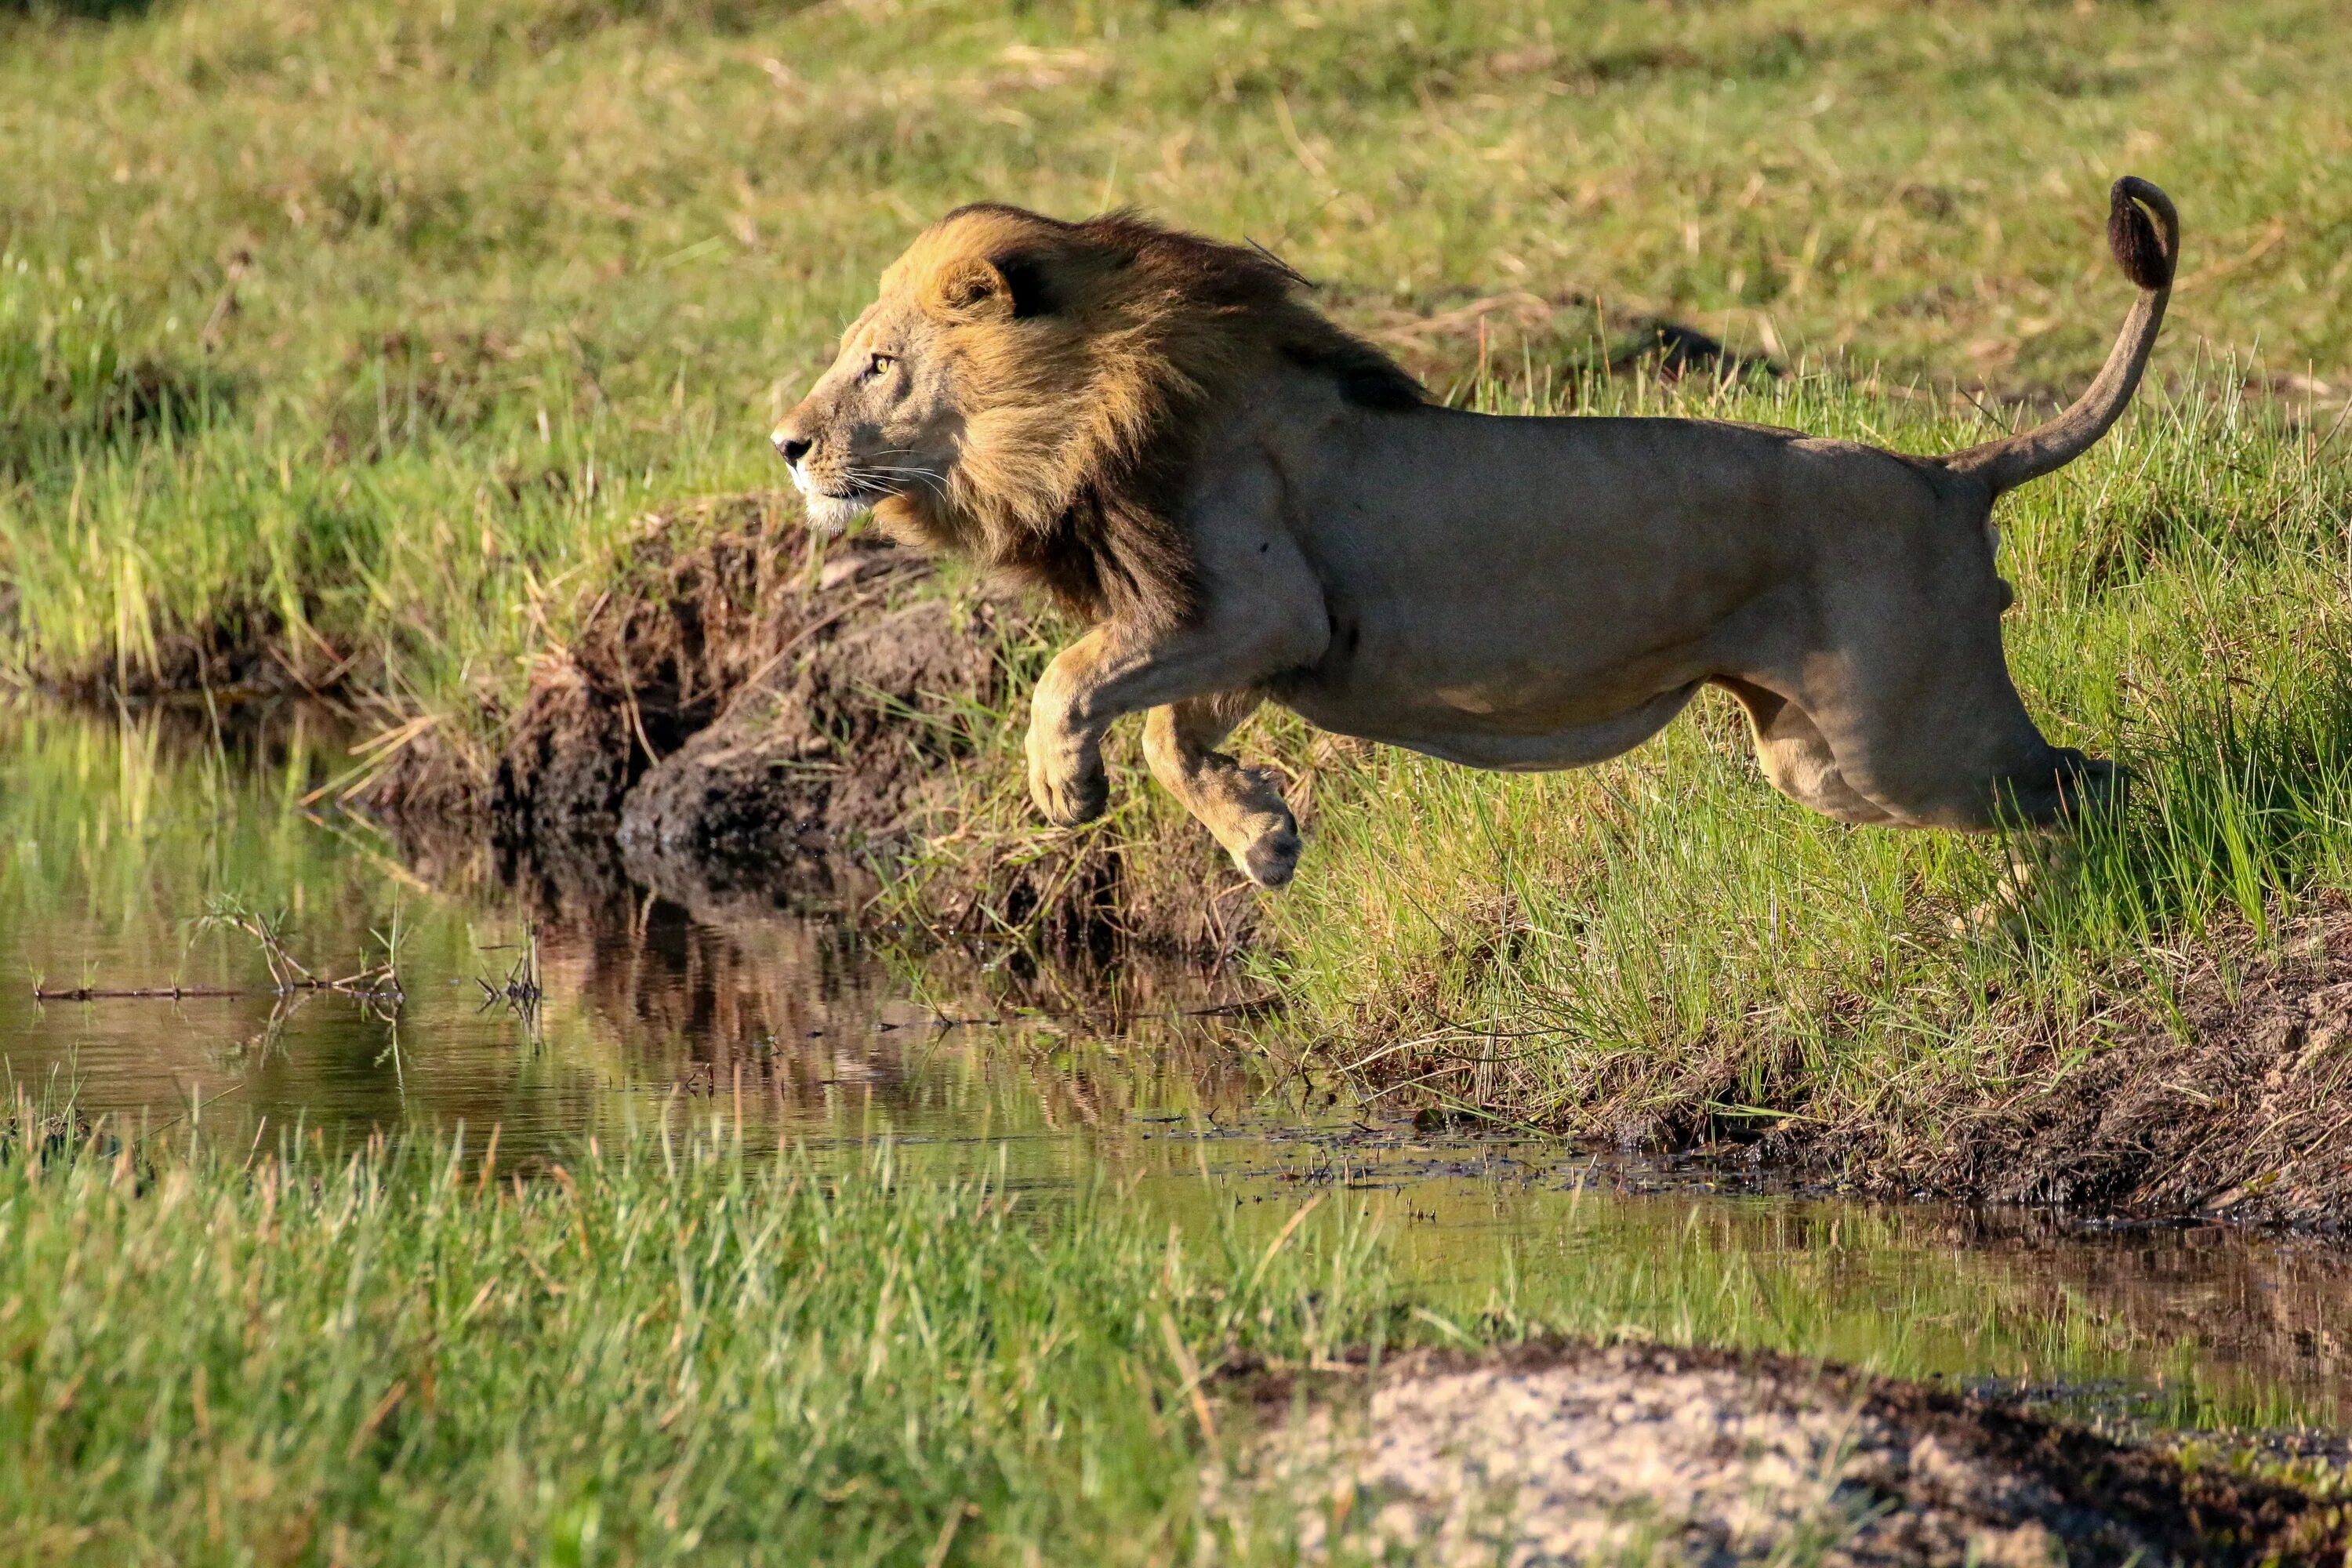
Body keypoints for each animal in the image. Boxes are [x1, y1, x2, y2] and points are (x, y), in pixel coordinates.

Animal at [776, 177, 2183, 888]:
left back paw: (2053, 897)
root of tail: (1948, 473)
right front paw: (1264, 837)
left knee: (2098, 786)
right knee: (2052, 785)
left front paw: (1063, 788)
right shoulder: (1246, 637)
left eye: (879, 366)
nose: (787, 444)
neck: (1085, 417)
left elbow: (1070, 685)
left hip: (1910, 739)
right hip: (1818, 759)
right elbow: (1174, 740)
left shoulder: (1258, 608)